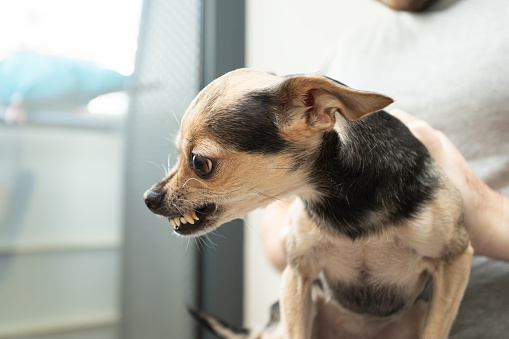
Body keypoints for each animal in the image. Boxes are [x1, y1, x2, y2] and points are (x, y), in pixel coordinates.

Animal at [143, 67, 472, 338]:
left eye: (200, 163)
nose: (149, 198)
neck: (345, 202)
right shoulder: (298, 275)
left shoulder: (454, 259)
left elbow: (435, 330)